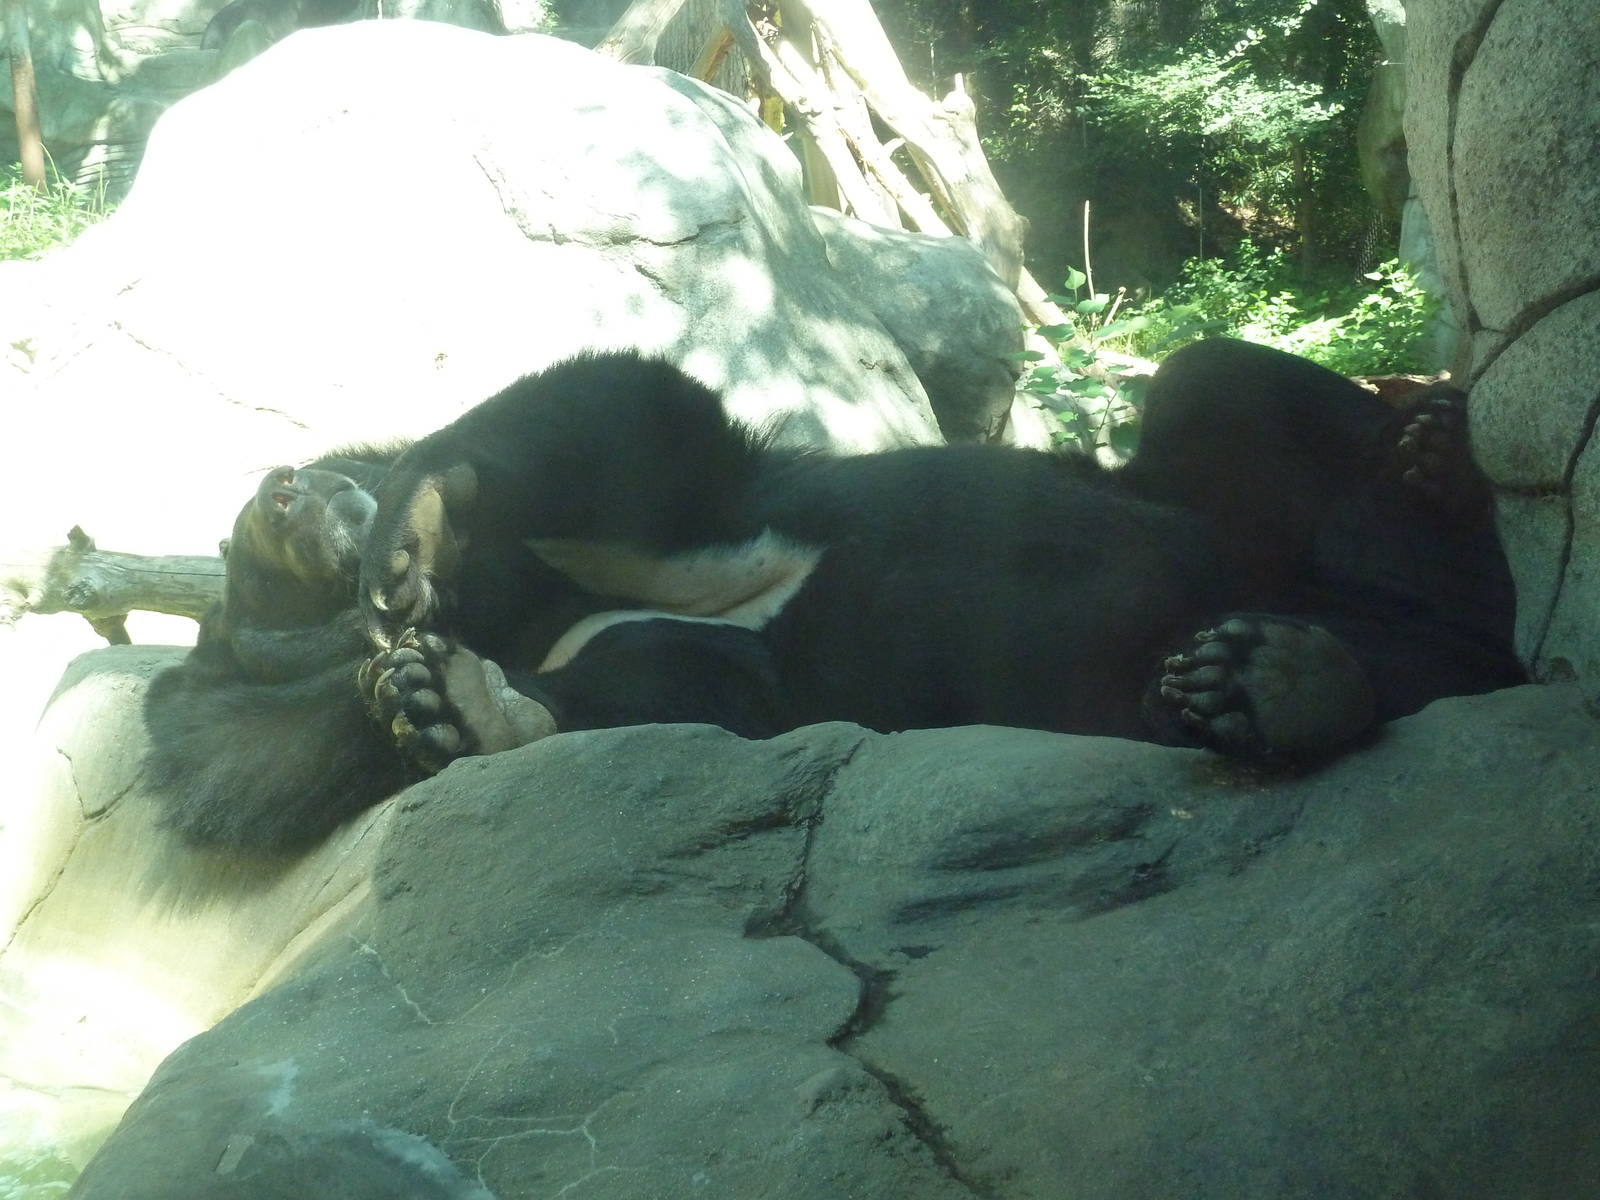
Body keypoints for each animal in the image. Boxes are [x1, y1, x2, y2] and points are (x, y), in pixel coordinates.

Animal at [145, 338, 1525, 854]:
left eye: (259, 533)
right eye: (252, 574)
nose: (286, 497)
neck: (524, 605)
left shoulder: (690, 505)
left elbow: (626, 420)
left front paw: (415, 527)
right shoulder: (685, 648)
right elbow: (678, 693)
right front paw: (447, 706)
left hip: (1222, 488)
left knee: (1221, 386)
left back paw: (1430, 460)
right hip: (1128, 679)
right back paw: (1281, 678)